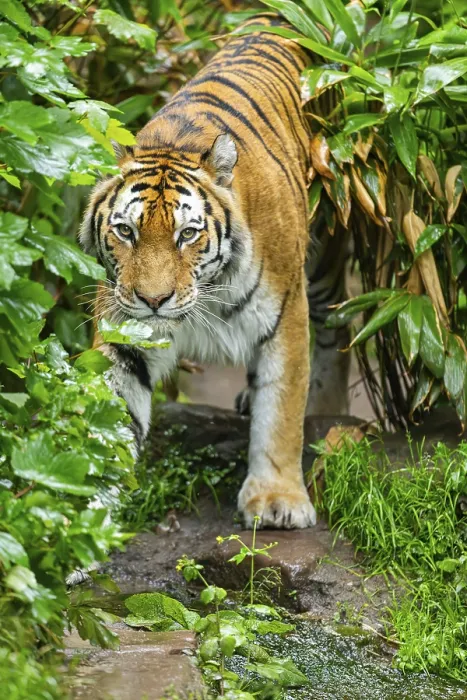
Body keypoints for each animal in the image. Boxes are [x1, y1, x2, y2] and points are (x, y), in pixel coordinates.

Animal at [79, 14, 350, 530]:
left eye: (187, 234)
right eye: (125, 231)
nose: (153, 300)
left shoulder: (285, 314)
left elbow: (281, 408)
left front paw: (277, 499)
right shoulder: (126, 330)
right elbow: (112, 414)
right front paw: (80, 513)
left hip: (327, 253)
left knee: (337, 330)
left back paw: (330, 413)